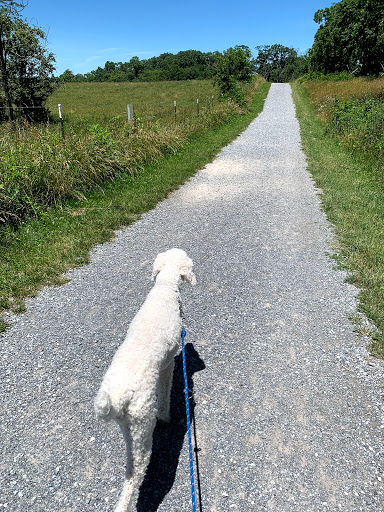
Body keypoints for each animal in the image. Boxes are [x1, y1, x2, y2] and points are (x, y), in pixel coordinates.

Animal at [93, 249, 195, 512]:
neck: (165, 288)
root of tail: (117, 399)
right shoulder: (169, 363)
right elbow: (166, 391)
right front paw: (166, 416)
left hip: (129, 429)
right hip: (142, 424)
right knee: (136, 474)